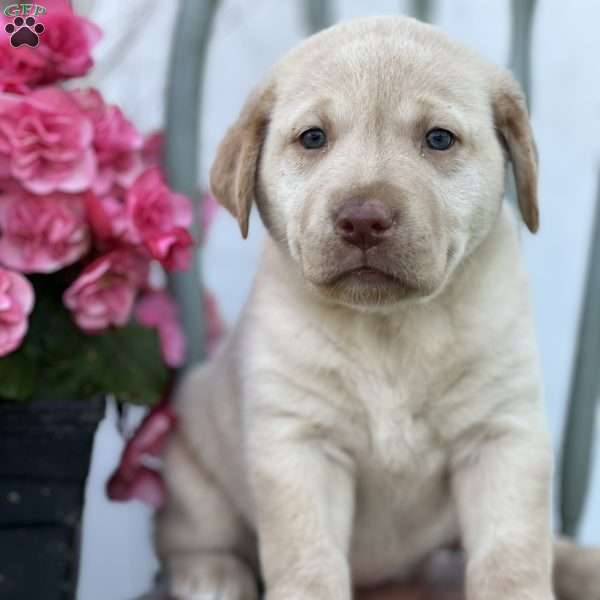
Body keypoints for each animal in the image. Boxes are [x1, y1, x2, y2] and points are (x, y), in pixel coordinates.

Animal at [156, 15, 600, 600]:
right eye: (313, 138)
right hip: (190, 467)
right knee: (191, 534)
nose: (363, 219)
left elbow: (513, 554)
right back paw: (211, 573)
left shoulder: (503, 434)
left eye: (439, 139)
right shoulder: (298, 444)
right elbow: (308, 559)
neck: (391, 328)